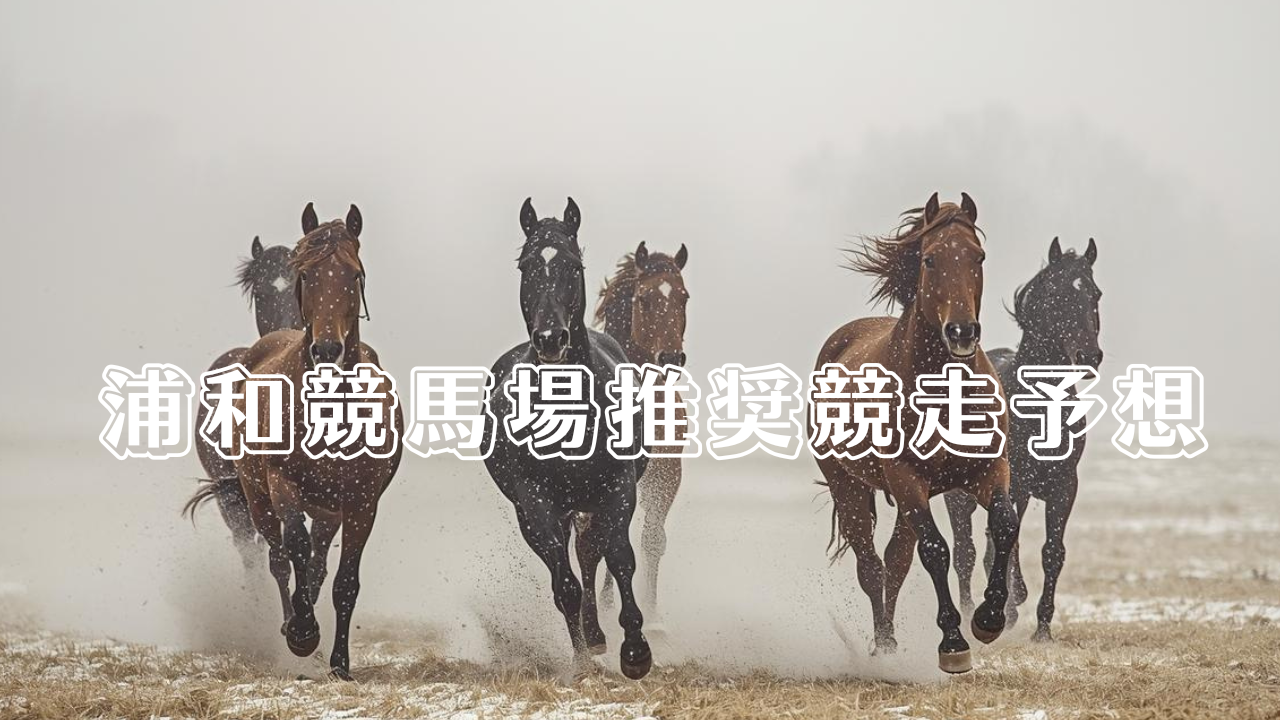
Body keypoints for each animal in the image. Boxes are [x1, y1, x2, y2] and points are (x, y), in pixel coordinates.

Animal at [229, 203, 403, 680]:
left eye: (354, 274)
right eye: (306, 274)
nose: (327, 351)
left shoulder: (361, 503)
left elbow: (344, 582)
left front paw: (340, 663)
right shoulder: (281, 483)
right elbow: (295, 548)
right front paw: (303, 633)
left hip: (328, 510)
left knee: (318, 566)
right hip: (257, 496)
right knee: (278, 558)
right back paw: (292, 625)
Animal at [484, 197, 653, 680]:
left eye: (573, 265)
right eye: (525, 266)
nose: (550, 338)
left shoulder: (617, 489)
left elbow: (619, 559)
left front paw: (635, 652)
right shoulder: (535, 502)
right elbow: (565, 583)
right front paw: (579, 663)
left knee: (592, 554)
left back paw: (598, 636)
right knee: (570, 566)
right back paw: (587, 641)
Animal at [578, 241, 690, 634]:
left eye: (684, 296)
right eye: (644, 298)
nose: (671, 356)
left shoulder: (667, 475)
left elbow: (652, 538)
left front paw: (654, 619)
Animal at [812, 192, 1020, 674]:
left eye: (978, 257)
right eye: (929, 259)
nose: (961, 332)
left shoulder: (988, 471)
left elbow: (1004, 523)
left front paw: (988, 618)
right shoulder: (908, 481)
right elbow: (937, 550)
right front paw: (953, 644)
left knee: (896, 561)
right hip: (851, 487)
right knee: (872, 566)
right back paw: (884, 646)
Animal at [944, 237, 1102, 642]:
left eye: (1094, 294)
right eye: (1057, 295)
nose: (1089, 355)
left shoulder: (1063, 486)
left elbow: (1052, 551)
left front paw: (1042, 627)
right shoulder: (1013, 485)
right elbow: (1005, 543)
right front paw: (1010, 606)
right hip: (960, 496)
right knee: (966, 551)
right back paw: (970, 609)